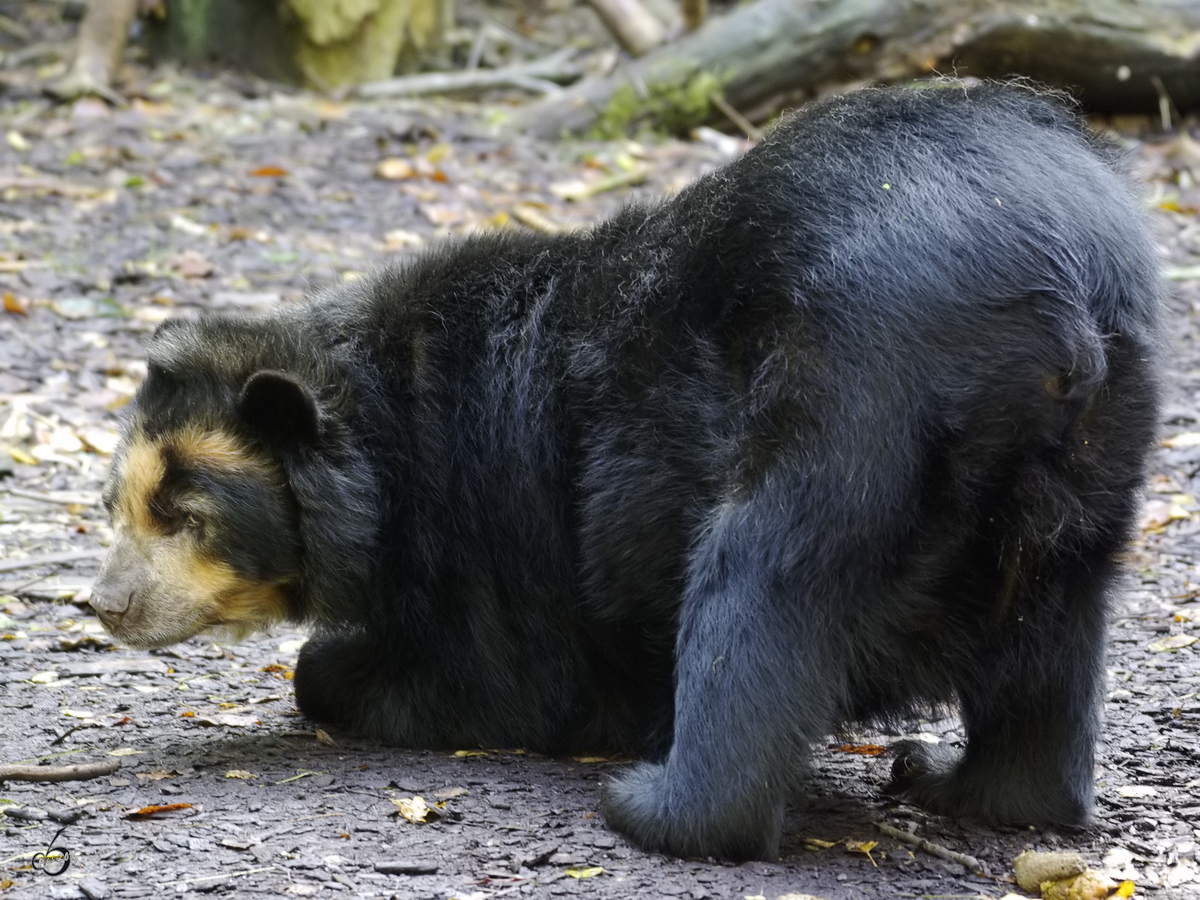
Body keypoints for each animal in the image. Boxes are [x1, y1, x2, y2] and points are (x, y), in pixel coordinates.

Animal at [91, 82, 1161, 859]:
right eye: (117, 506)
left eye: (184, 512)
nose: (102, 606)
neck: (385, 430)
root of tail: (1059, 295)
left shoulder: (491, 518)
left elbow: (500, 679)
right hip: (1093, 460)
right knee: (1055, 629)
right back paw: (965, 783)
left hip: (851, 401)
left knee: (767, 586)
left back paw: (653, 804)